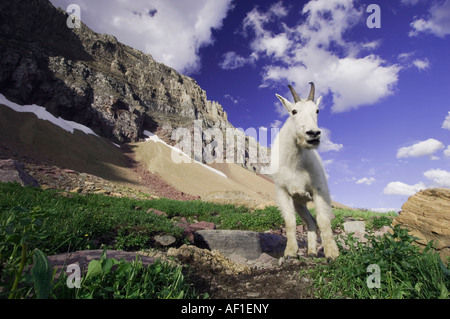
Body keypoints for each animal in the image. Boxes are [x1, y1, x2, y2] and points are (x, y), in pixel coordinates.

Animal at [268, 82, 340, 260]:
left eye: (317, 110)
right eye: (294, 111)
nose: (313, 134)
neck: (294, 164)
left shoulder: (319, 190)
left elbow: (324, 220)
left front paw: (332, 253)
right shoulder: (283, 192)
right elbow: (290, 222)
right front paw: (290, 252)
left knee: (315, 220)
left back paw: (315, 251)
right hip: (299, 203)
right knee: (310, 221)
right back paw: (312, 251)